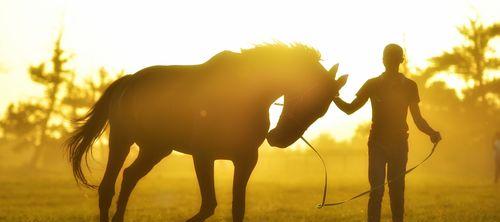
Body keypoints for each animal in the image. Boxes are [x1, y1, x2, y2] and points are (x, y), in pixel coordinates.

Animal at [65, 43, 348, 222]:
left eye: (322, 110)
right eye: (307, 98)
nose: (279, 139)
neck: (242, 94)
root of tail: (128, 80)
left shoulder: (245, 159)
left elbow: (237, 208)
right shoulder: (203, 156)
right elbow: (208, 206)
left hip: (156, 149)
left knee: (129, 176)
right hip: (121, 141)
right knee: (107, 188)